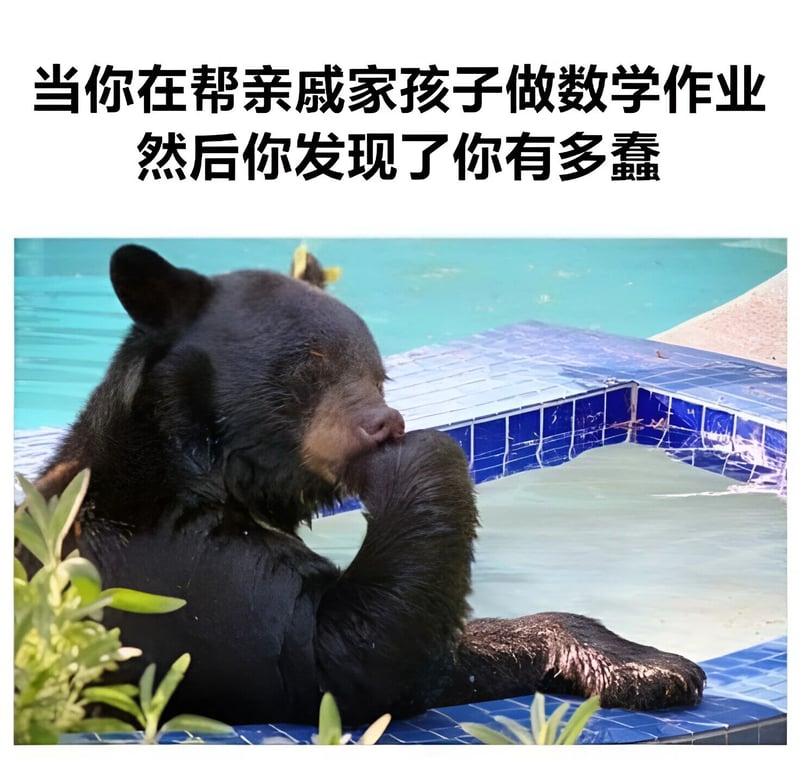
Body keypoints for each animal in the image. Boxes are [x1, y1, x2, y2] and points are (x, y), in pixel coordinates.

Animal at [19, 244, 706, 727]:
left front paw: (652, 666)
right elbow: (343, 660)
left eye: (377, 370)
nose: (383, 423)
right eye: (307, 364)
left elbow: (449, 651)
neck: (194, 468)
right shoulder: (171, 571)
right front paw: (419, 457)